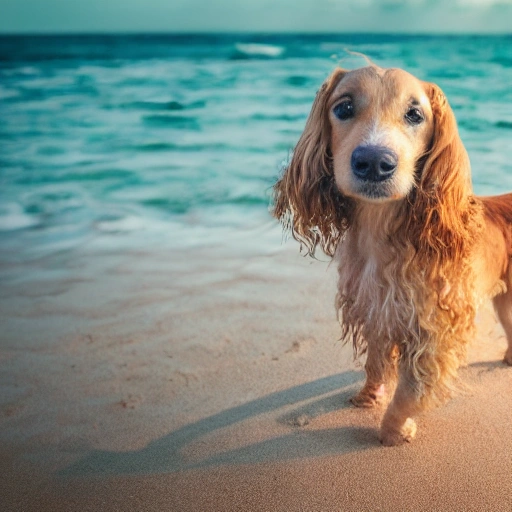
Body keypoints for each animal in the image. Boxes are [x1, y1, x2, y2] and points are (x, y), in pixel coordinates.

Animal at [274, 64, 512, 446]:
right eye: (343, 108)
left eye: (415, 114)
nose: (374, 162)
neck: (382, 231)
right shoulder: (375, 309)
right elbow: (376, 362)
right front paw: (368, 397)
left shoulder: (435, 330)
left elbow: (411, 391)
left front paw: (394, 431)